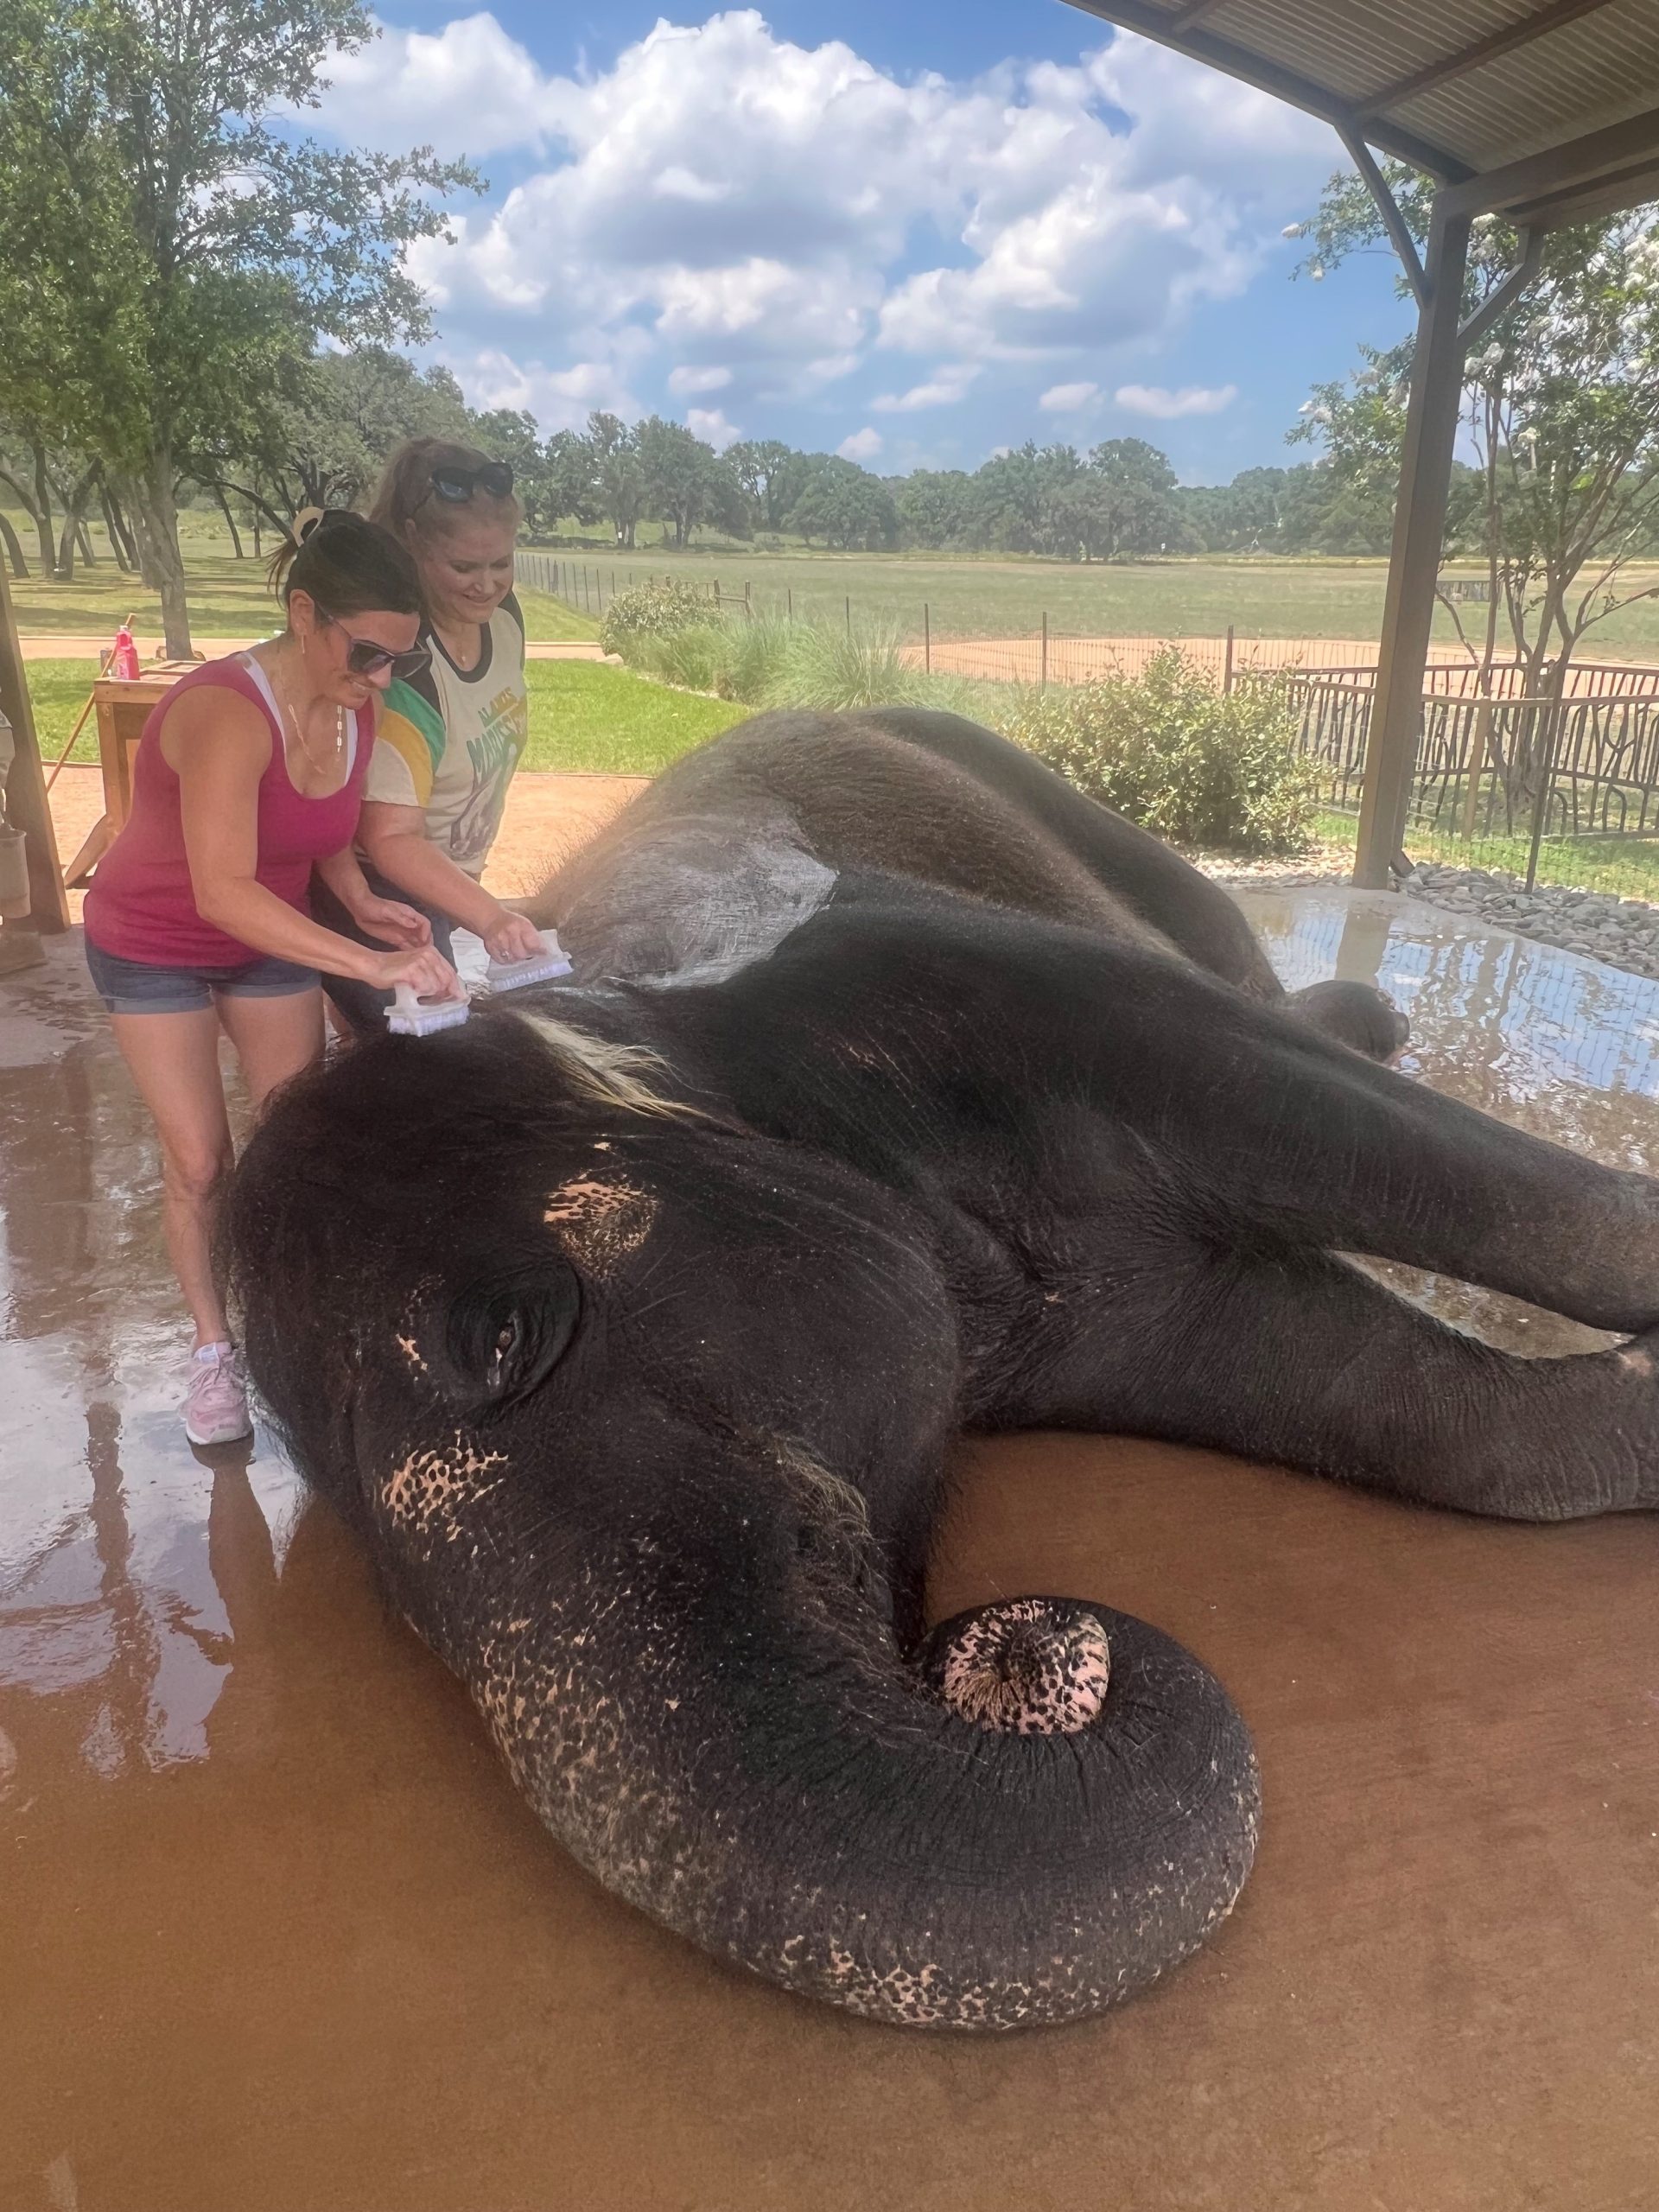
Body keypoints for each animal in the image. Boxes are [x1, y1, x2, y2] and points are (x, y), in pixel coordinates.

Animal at [227, 712, 1659, 2035]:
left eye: (509, 1339)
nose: (1024, 1641)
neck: (629, 1023)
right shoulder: (1096, 1328)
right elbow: (1374, 1391)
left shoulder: (943, 974)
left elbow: (1381, 1147)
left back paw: (1373, 1018)